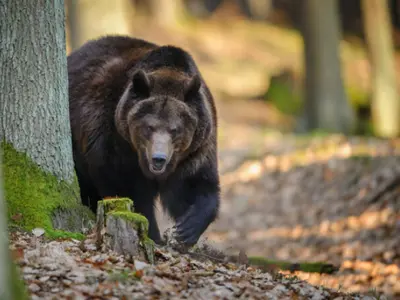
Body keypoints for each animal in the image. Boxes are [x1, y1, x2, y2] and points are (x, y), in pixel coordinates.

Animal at [67, 35, 220, 246]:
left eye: (175, 129)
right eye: (149, 127)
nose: (159, 158)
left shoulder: (196, 150)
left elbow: (196, 184)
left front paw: (186, 229)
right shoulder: (114, 141)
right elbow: (127, 189)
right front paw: (153, 234)